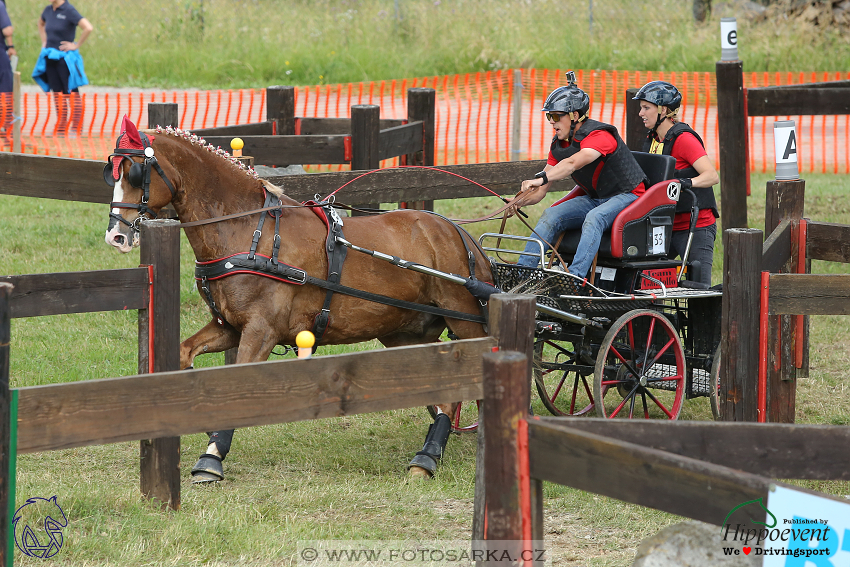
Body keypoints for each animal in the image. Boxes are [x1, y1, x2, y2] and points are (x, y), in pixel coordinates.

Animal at [103, 120, 494, 484]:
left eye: (135, 172)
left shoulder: (262, 330)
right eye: (113, 172)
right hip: (404, 332)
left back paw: (435, 455)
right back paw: (430, 452)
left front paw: (212, 457)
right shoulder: (230, 326)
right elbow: (186, 354)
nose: (116, 235)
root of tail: (460, 235)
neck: (249, 230)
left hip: (465, 321)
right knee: (445, 391)